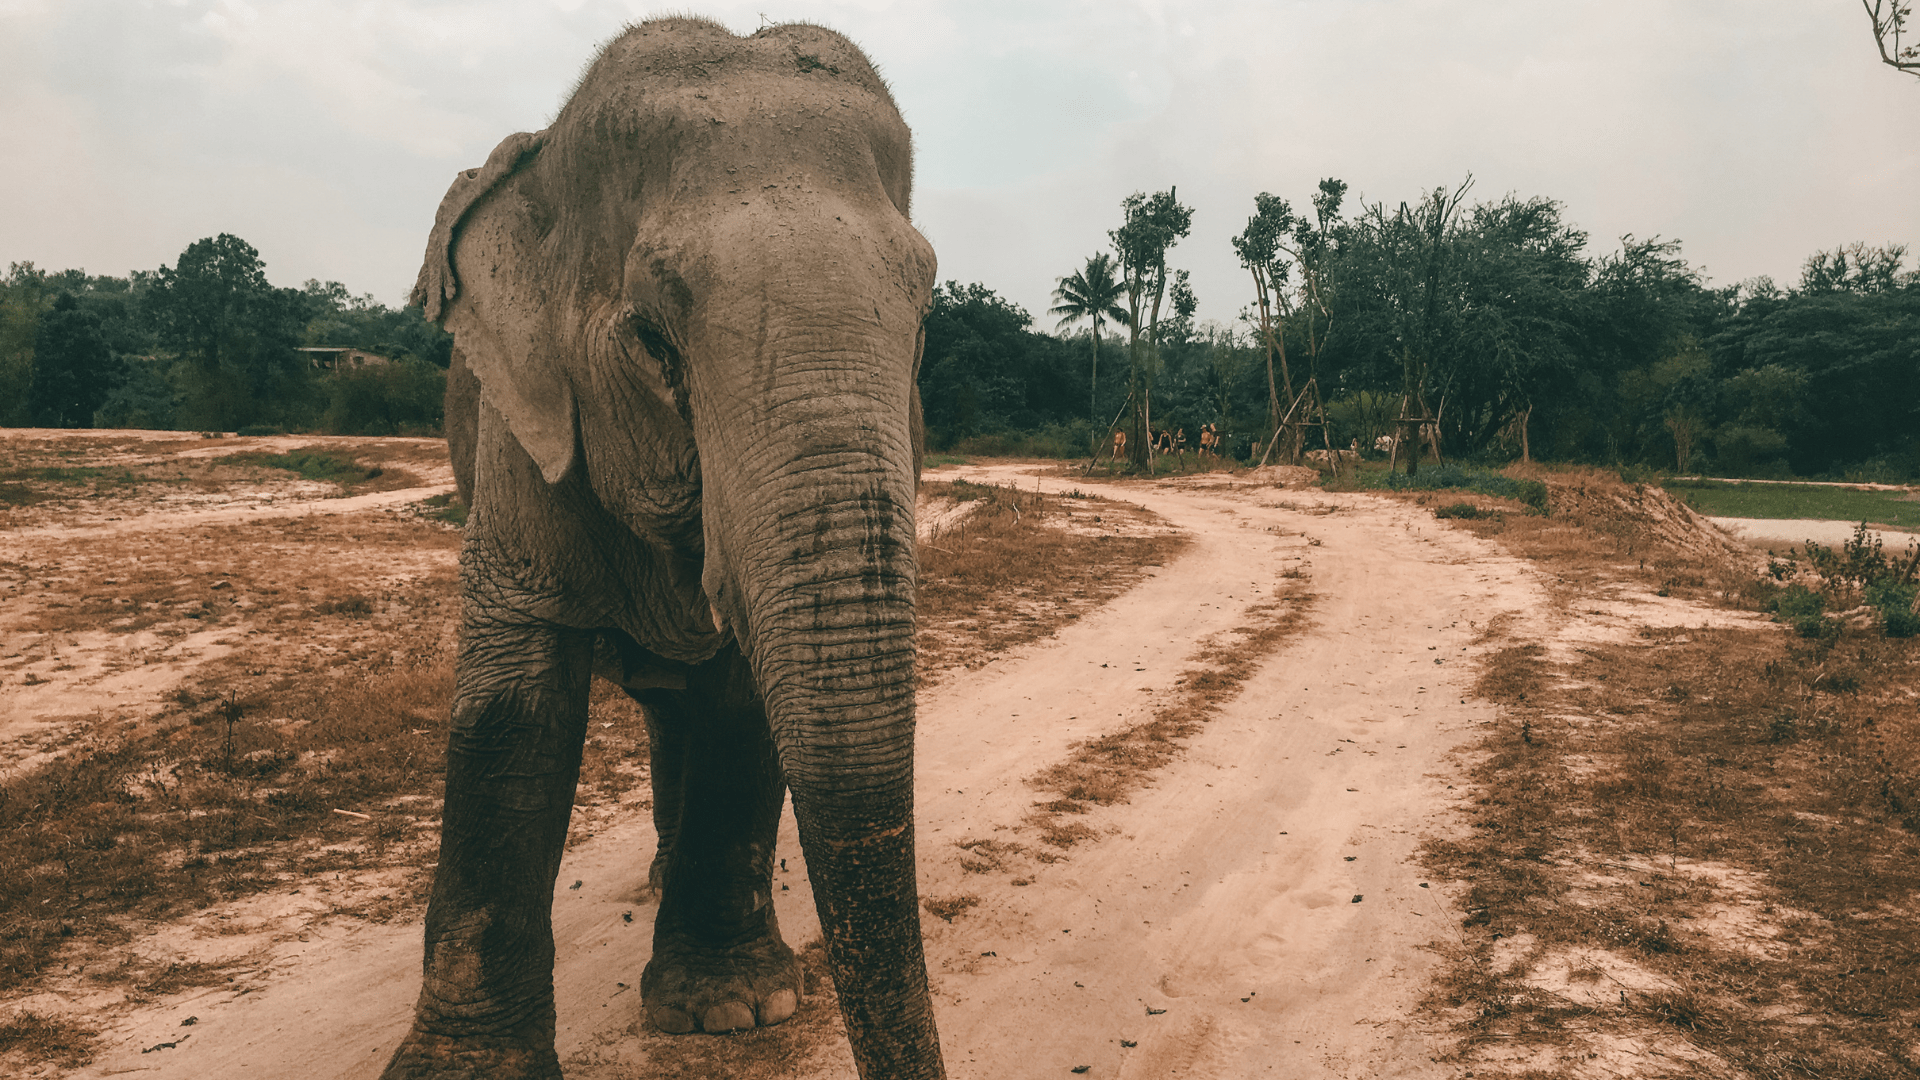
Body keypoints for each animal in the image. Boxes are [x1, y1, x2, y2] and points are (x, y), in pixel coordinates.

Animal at [378, 18, 945, 1080]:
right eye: (651, 340)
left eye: (925, 323)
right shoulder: (524, 428)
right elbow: (514, 710)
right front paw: (462, 1069)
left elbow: (738, 698)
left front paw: (732, 1011)